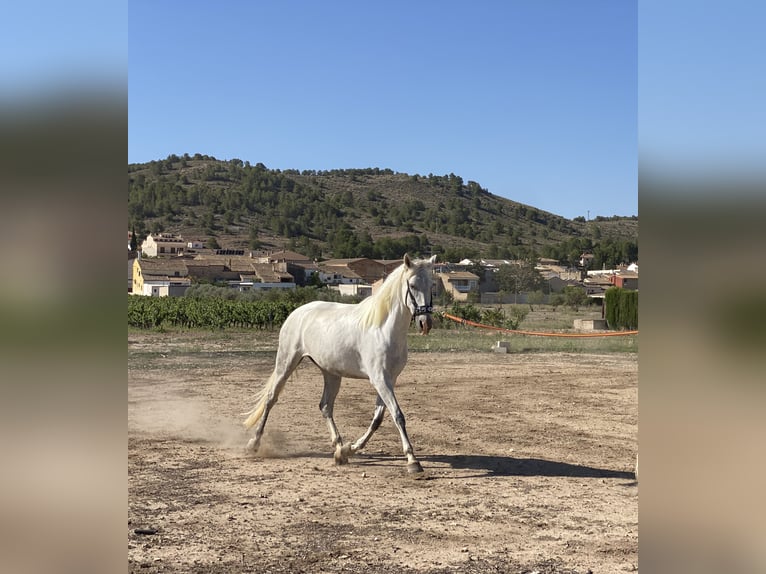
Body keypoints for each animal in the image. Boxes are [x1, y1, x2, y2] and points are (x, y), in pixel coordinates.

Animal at [246, 254, 438, 474]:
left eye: (432, 285)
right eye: (412, 285)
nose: (425, 323)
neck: (383, 329)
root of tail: (297, 312)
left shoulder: (389, 379)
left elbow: (377, 419)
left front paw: (348, 449)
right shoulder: (379, 379)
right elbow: (398, 415)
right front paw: (413, 461)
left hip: (331, 373)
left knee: (325, 406)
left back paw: (338, 448)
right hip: (286, 363)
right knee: (271, 399)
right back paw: (253, 443)